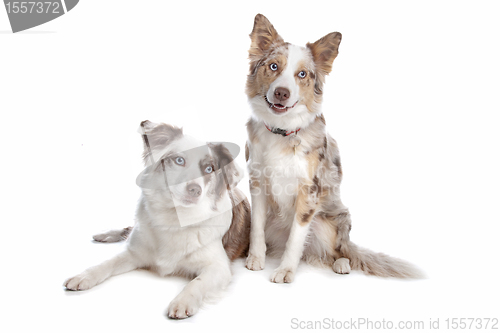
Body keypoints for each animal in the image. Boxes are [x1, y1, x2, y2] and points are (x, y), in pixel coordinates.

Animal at [64, 120, 250, 318]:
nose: (195, 190)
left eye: (209, 169)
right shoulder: (134, 253)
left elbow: (197, 282)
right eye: (179, 160)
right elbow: (107, 263)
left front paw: (183, 301)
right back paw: (105, 235)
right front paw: (84, 275)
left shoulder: (218, 267)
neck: (175, 218)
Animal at [244, 14, 424, 282]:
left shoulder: (309, 192)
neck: (282, 131)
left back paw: (342, 264)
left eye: (302, 74)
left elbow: (296, 239)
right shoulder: (257, 183)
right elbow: (256, 228)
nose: (281, 93)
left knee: (339, 251)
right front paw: (255, 259)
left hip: (332, 223)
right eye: (274, 67)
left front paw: (286, 270)